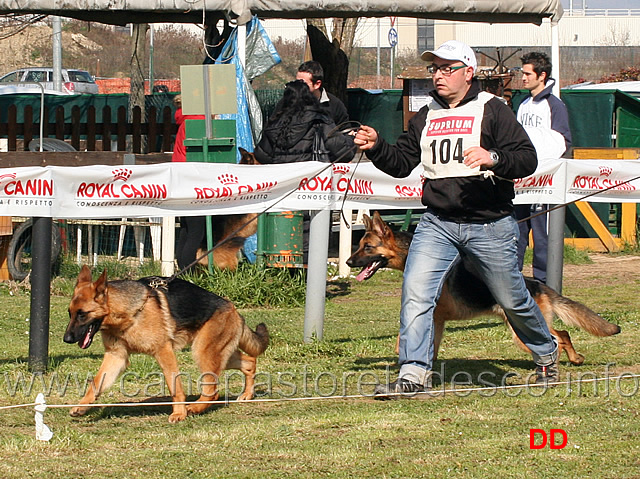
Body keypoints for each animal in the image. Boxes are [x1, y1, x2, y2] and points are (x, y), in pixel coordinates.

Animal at [67, 266, 270, 424]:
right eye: (70, 313)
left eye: (82, 314)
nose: (66, 339)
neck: (130, 312)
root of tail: (234, 310)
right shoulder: (116, 357)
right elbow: (96, 383)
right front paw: (82, 406)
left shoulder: (164, 352)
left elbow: (175, 386)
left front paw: (179, 413)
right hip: (219, 354)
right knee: (250, 362)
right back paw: (247, 394)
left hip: (203, 352)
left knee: (212, 390)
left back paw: (194, 408)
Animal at [348, 212, 624, 366]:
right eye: (359, 246)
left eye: (367, 248)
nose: (349, 262)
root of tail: (538, 284)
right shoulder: (437, 319)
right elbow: (430, 347)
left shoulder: (431, 316)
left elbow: (404, 343)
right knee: (563, 334)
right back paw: (575, 359)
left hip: (521, 328)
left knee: (556, 338)